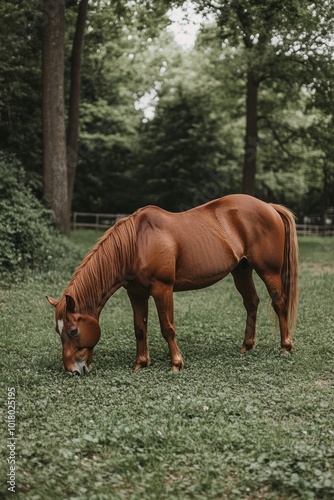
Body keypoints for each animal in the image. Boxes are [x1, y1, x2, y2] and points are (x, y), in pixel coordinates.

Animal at [46, 195, 298, 376]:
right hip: (242, 271)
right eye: (58, 331)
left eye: (73, 330)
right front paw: (141, 364)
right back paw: (247, 346)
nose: (73, 371)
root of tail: (269, 207)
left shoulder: (162, 289)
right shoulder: (136, 293)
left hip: (268, 271)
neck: (137, 242)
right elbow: (139, 328)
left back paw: (286, 347)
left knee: (279, 303)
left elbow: (167, 327)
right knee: (251, 303)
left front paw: (176, 363)